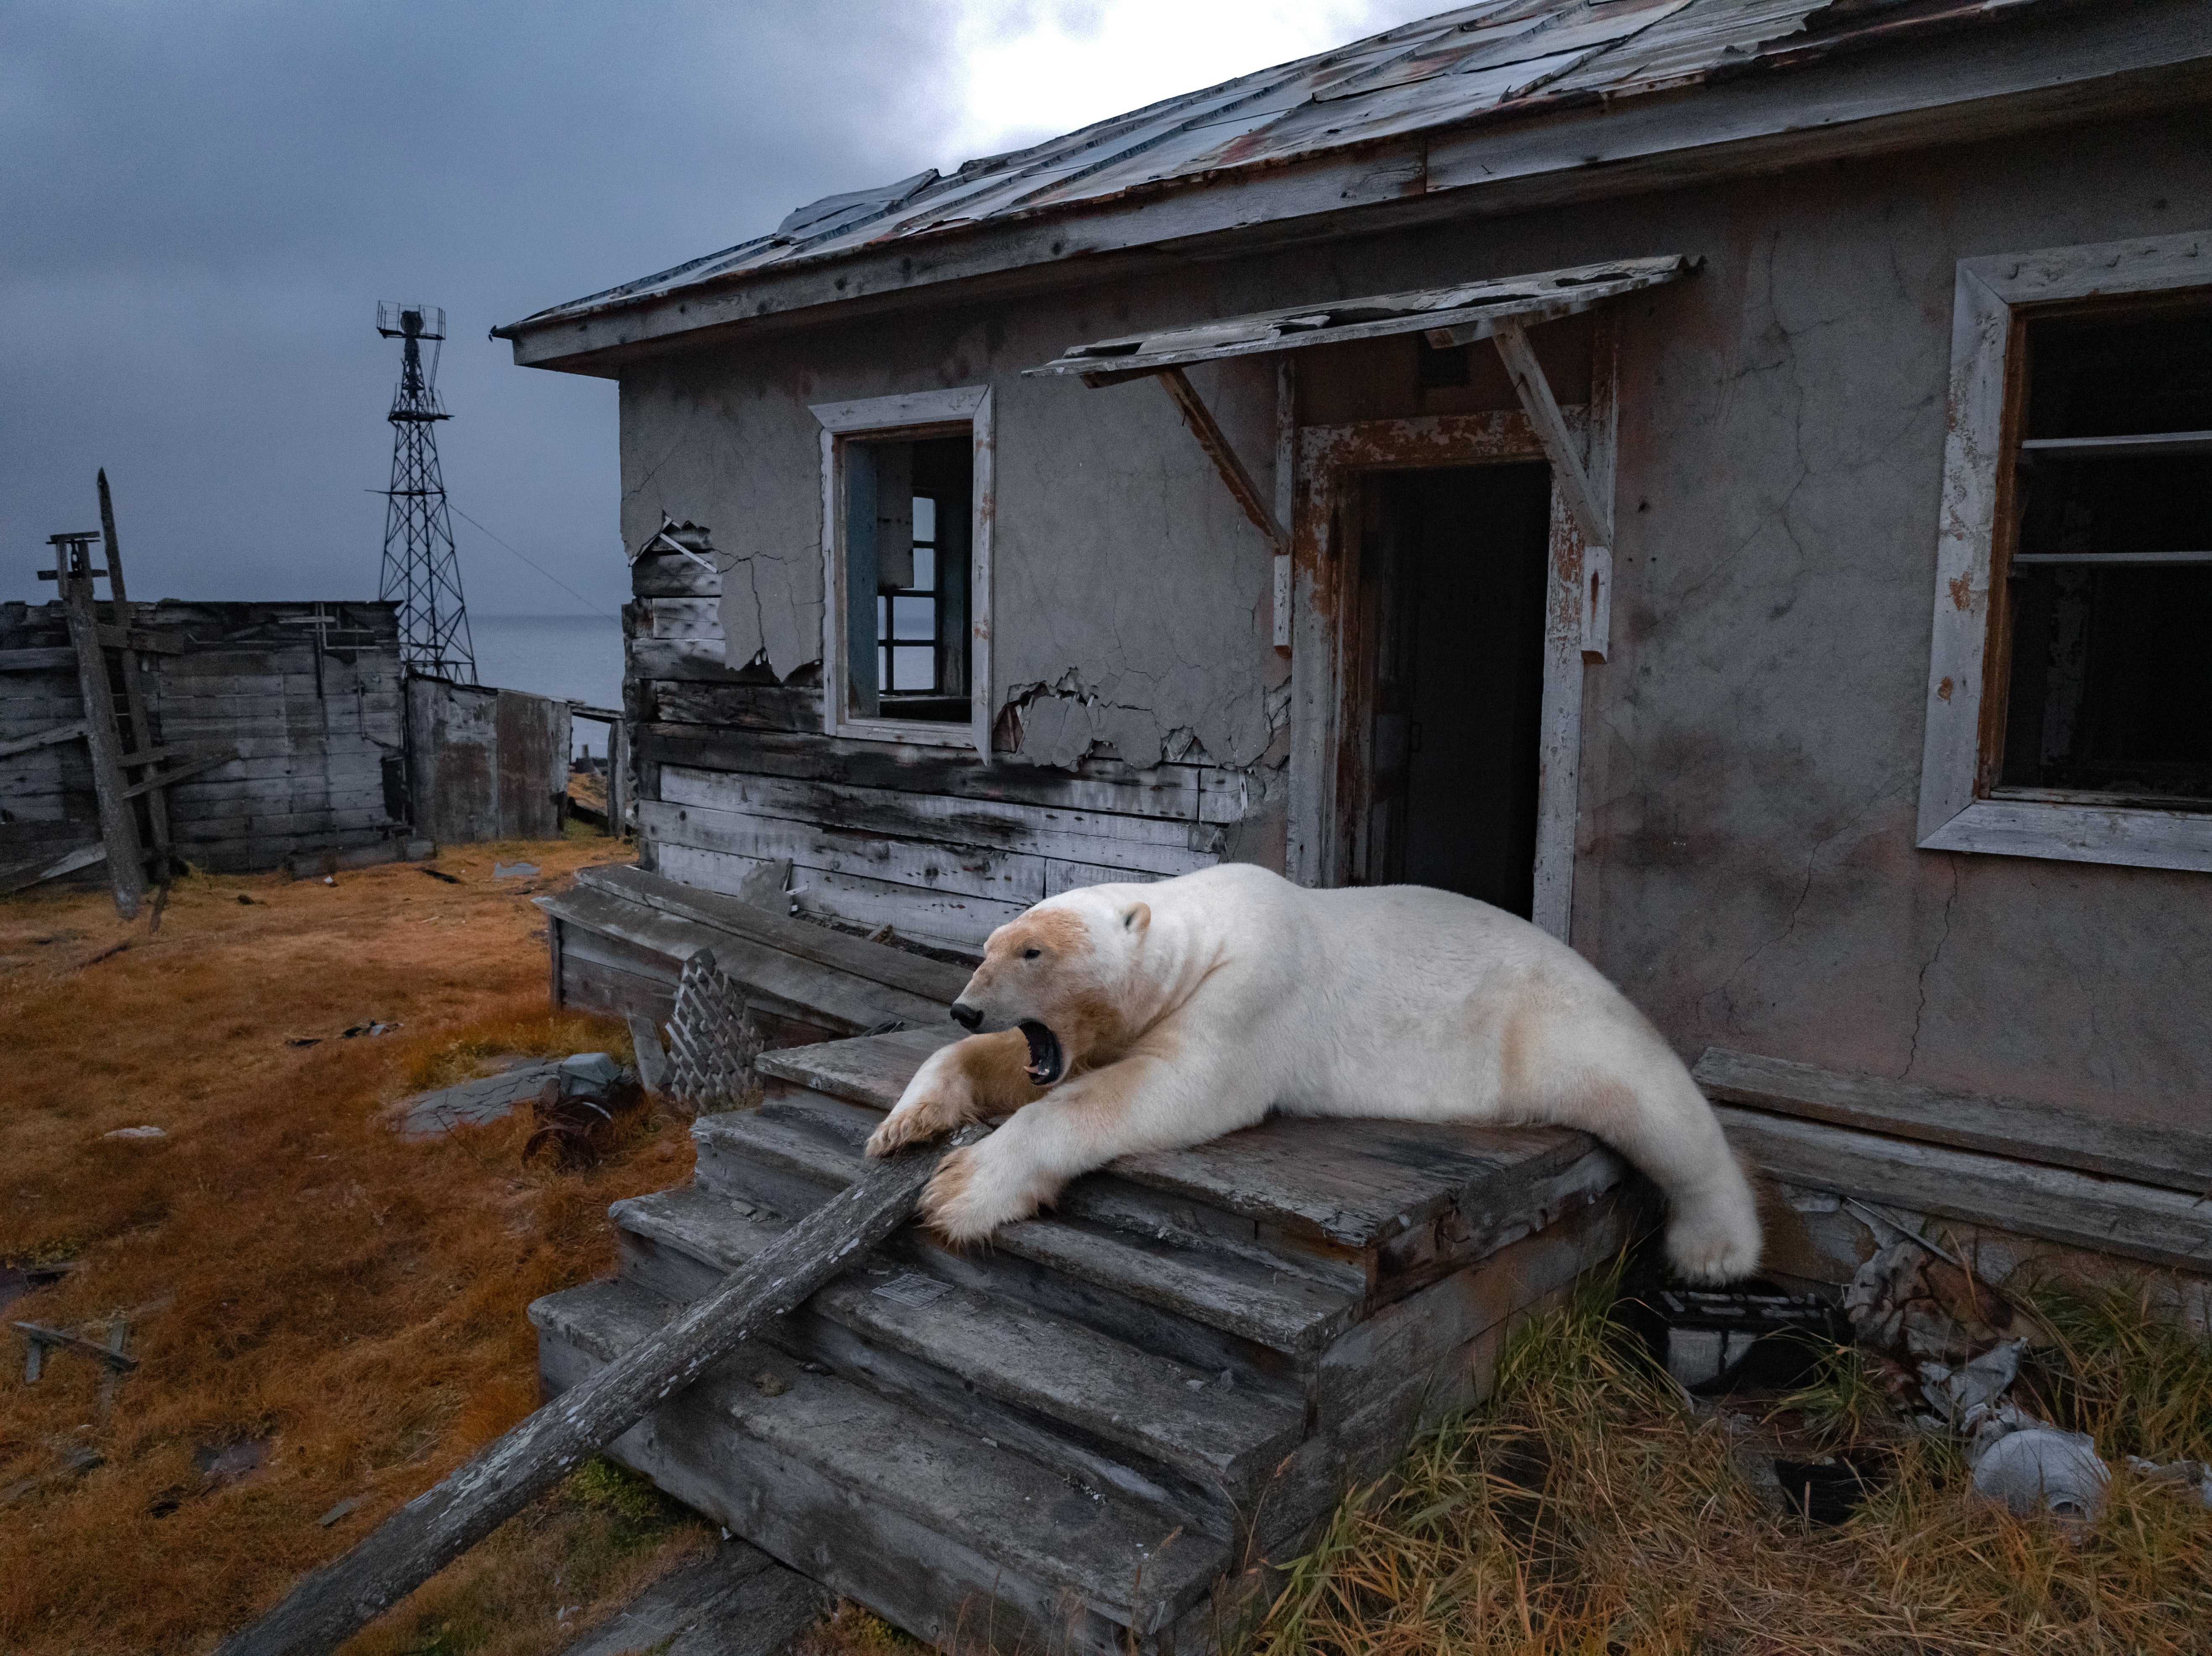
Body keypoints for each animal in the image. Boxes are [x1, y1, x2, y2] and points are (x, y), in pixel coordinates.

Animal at [866, 862, 1763, 1284]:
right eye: (988, 946)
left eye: (1032, 950)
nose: (964, 1006)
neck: (1206, 932)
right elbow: (1031, 1066)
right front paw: (908, 1119)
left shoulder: (1252, 992)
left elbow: (1165, 1088)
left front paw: (962, 1189)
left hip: (1552, 1023)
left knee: (1653, 1104)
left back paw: (1715, 1247)